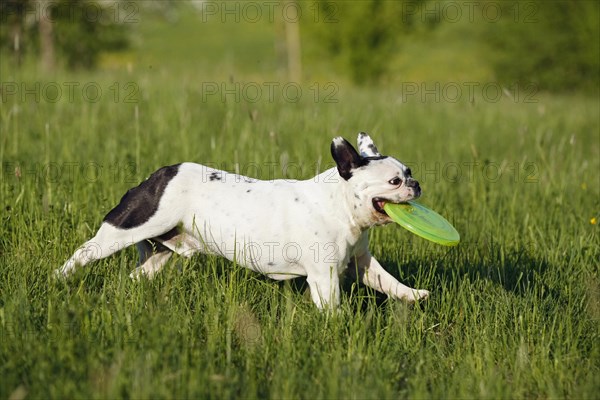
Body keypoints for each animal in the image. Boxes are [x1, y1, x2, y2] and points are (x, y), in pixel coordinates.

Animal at [58, 133, 428, 308]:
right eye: (395, 181)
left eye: (409, 171)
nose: (415, 184)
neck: (339, 204)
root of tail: (157, 176)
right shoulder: (324, 276)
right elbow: (331, 305)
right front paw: (337, 326)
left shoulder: (360, 262)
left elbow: (387, 281)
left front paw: (412, 295)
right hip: (127, 227)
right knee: (85, 252)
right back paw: (59, 278)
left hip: (163, 252)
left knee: (138, 274)